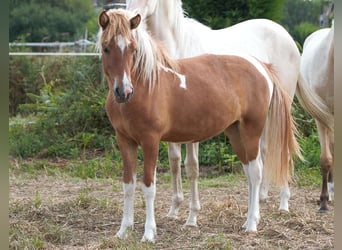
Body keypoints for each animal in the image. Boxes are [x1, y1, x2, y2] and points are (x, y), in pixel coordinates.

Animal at [97, 9, 300, 242]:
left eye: (133, 48)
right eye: (106, 48)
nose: (124, 91)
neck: (147, 85)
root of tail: (261, 66)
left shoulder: (151, 141)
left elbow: (148, 186)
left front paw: (148, 233)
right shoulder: (125, 140)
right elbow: (128, 185)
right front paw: (123, 230)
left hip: (252, 131)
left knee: (256, 172)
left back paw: (251, 224)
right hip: (235, 132)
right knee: (249, 172)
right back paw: (248, 220)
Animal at [125, 0, 332, 230]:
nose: (130, 19)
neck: (178, 46)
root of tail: (289, 40)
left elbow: (192, 167)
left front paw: (192, 217)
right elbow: (174, 162)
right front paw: (174, 209)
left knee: (282, 150)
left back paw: (283, 204)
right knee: (264, 150)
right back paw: (261, 197)